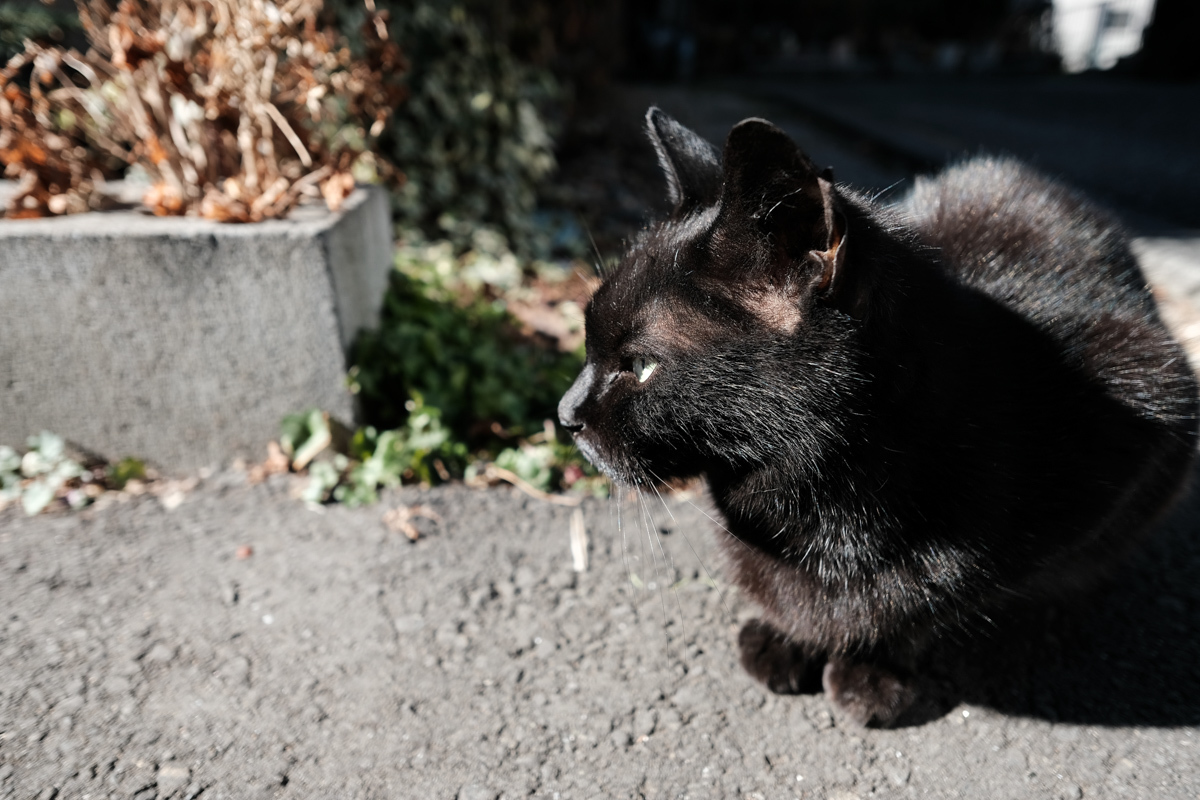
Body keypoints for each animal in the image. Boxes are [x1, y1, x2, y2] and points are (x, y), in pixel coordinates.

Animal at [556, 109, 1195, 729]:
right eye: (587, 341)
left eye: (640, 365)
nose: (565, 413)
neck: (821, 505)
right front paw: (789, 635)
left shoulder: (1144, 413)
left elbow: (935, 597)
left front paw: (870, 665)